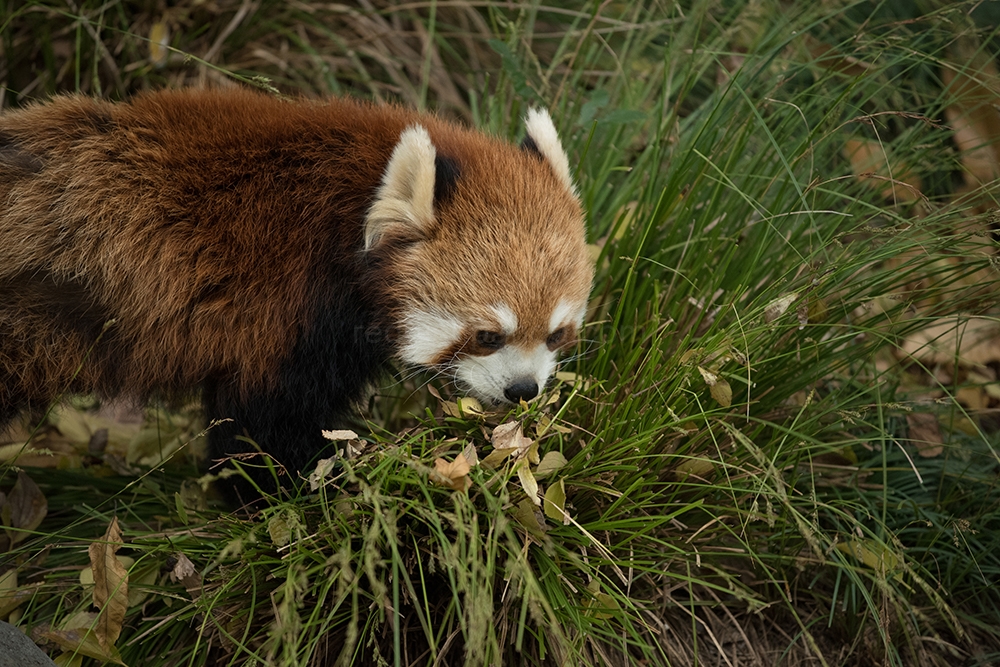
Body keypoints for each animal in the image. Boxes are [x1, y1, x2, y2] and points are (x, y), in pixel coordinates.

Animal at [0, 88, 592, 494]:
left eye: (556, 334)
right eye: (488, 335)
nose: (523, 390)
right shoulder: (279, 313)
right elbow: (263, 427)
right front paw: (292, 491)